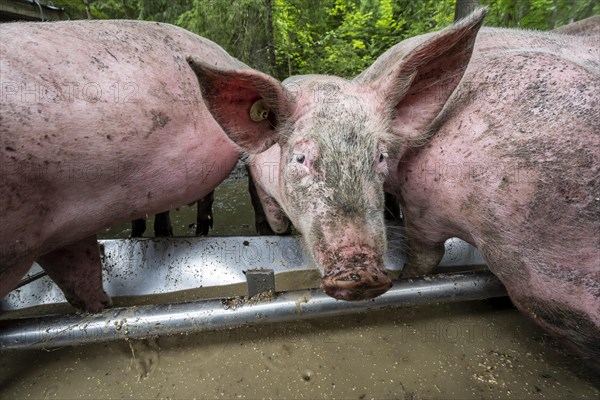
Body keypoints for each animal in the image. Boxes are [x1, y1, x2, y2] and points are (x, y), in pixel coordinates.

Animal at [191, 8, 600, 366]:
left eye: (380, 156)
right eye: (301, 158)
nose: (361, 271)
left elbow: (424, 260)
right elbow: (275, 223)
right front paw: (277, 232)